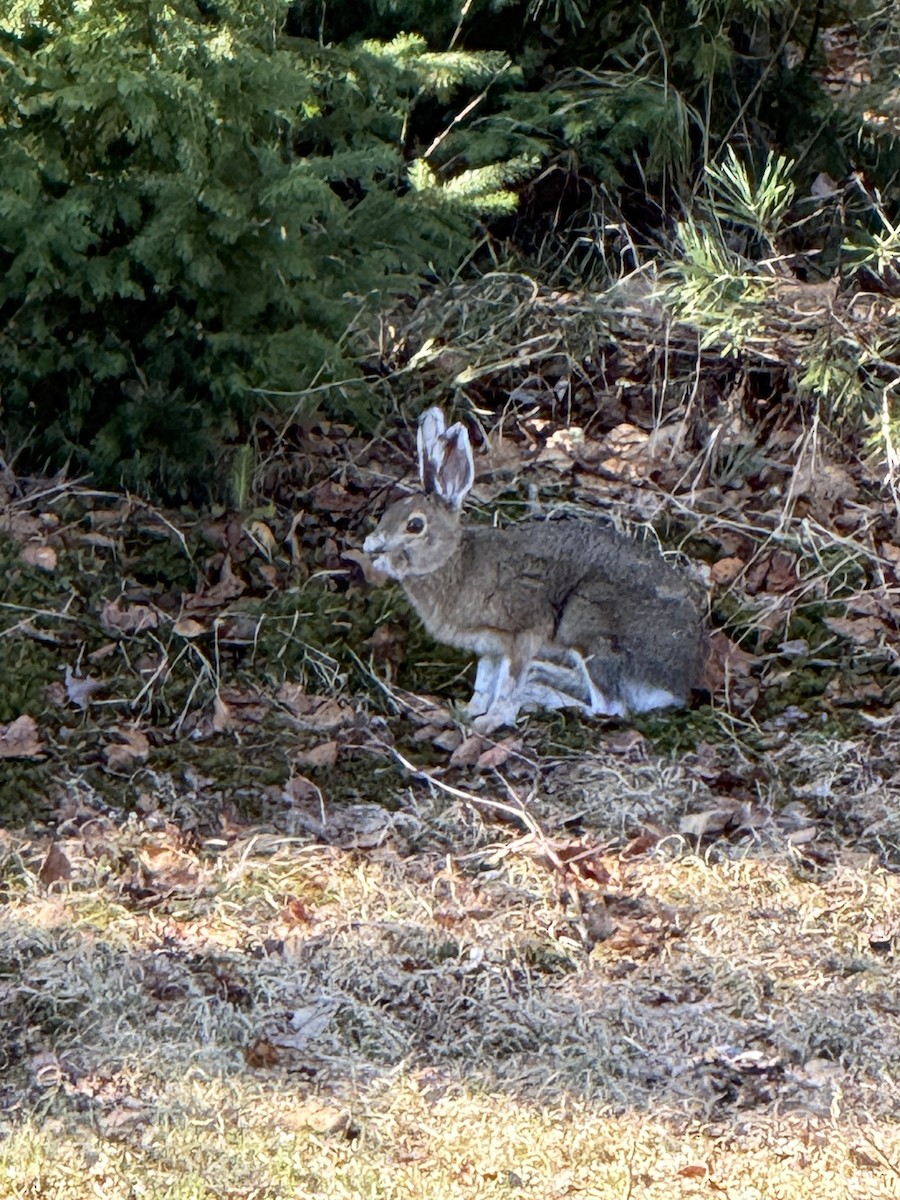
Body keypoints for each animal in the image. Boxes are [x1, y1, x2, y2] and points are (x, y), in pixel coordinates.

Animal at [363, 408, 707, 732]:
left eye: (414, 525)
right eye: (387, 513)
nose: (371, 547)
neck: (454, 560)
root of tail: (678, 683)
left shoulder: (522, 633)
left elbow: (507, 684)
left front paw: (491, 720)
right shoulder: (490, 647)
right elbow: (484, 683)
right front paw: (469, 711)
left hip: (586, 622)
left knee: (611, 707)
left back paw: (542, 698)